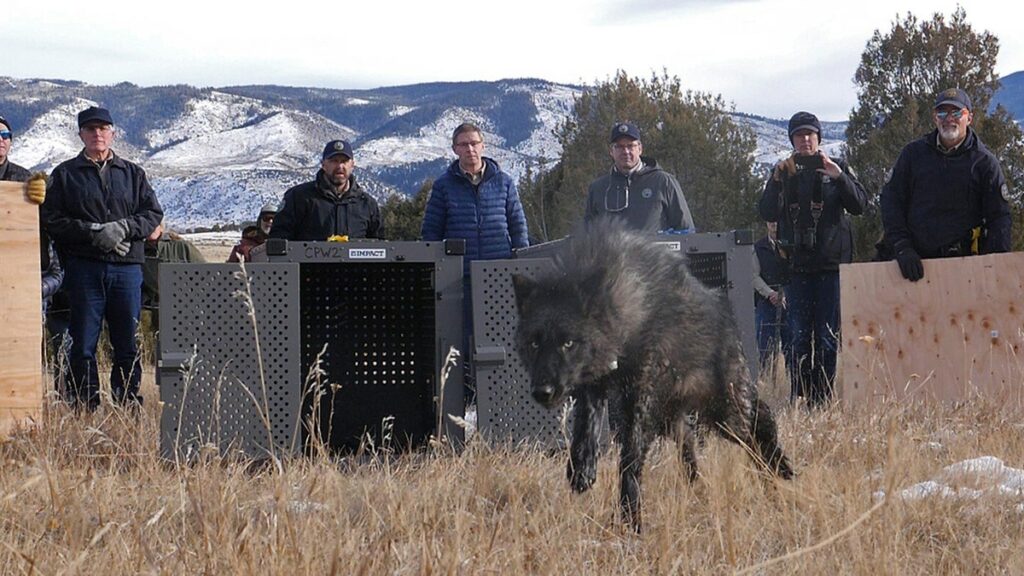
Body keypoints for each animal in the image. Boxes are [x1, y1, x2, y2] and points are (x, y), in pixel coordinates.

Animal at [512, 218, 790, 528]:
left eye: (568, 343)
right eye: (534, 343)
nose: (542, 392)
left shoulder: (640, 398)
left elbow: (630, 458)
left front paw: (630, 516)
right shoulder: (594, 387)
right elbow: (586, 429)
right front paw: (582, 469)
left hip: (726, 413)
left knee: (760, 423)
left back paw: (778, 468)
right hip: (677, 419)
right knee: (691, 450)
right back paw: (698, 490)